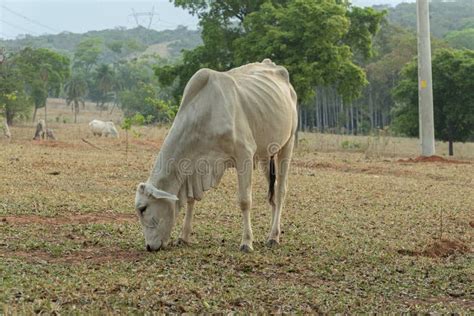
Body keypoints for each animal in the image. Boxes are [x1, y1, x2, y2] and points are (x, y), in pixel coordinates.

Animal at [133, 58, 296, 252]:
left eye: (143, 208)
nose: (149, 246)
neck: (206, 114)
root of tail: (272, 65)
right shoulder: (194, 167)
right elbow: (191, 199)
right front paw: (183, 237)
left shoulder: (245, 155)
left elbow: (244, 201)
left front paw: (247, 242)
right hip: (266, 154)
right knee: (272, 193)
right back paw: (272, 234)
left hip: (287, 144)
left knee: (280, 191)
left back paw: (274, 236)